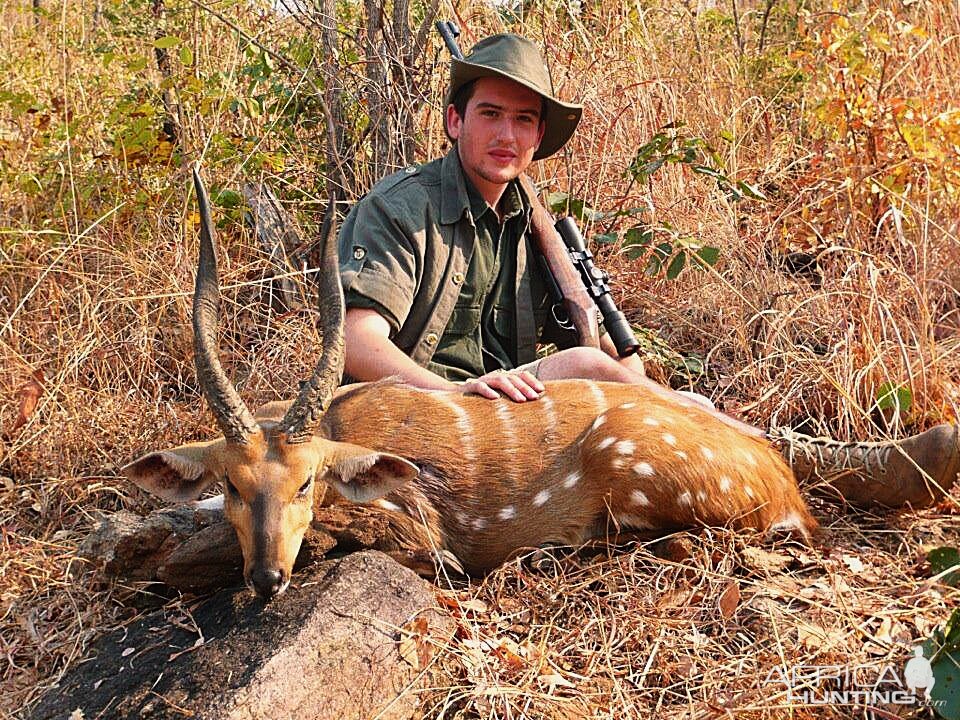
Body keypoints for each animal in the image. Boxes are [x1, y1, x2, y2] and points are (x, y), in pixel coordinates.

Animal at [122, 169, 816, 596]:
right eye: (233, 485)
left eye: (307, 482)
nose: (267, 578)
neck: (344, 427)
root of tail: (785, 486)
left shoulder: (417, 534)